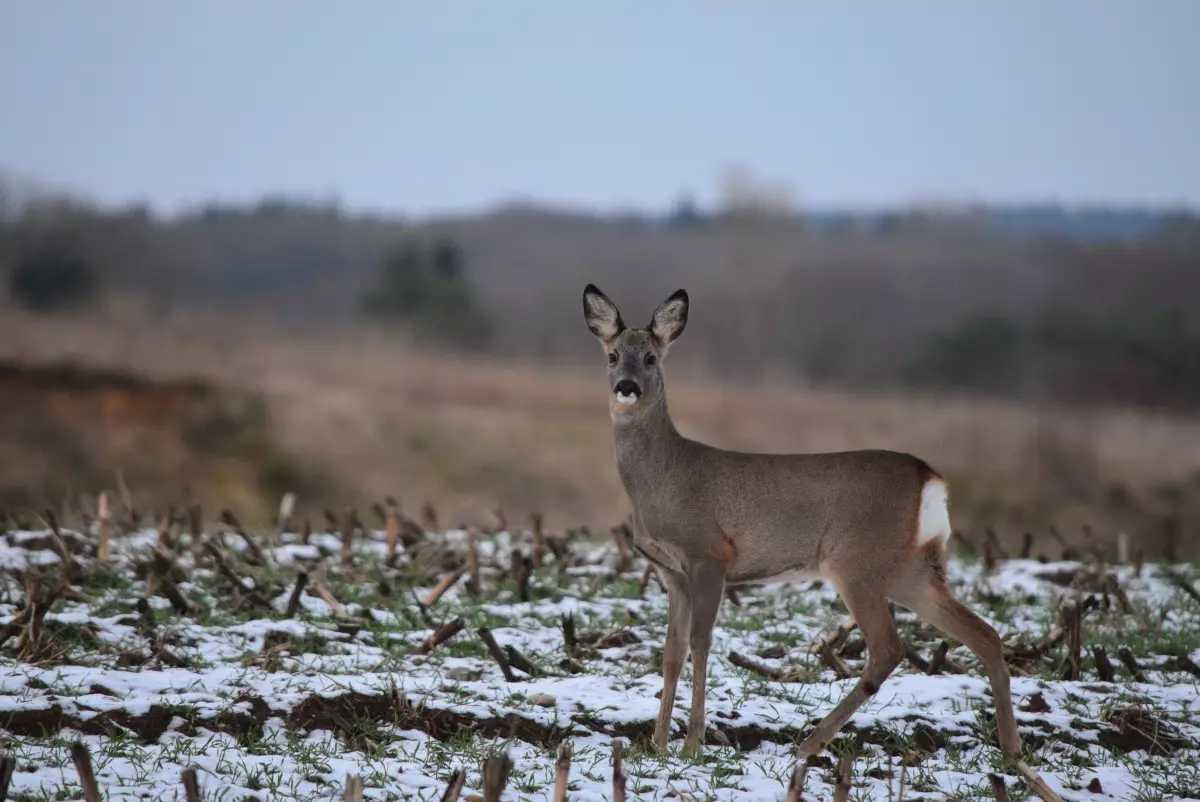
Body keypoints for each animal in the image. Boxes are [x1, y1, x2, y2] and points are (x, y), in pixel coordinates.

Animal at [580, 284, 1060, 797]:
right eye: (612, 356)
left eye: (651, 357)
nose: (626, 386)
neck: (663, 480)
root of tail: (931, 479)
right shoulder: (671, 573)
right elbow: (670, 653)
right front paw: (655, 743)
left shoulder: (710, 556)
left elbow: (700, 643)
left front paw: (690, 744)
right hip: (910, 570)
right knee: (984, 633)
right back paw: (1013, 753)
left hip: (857, 563)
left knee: (889, 648)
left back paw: (810, 744)